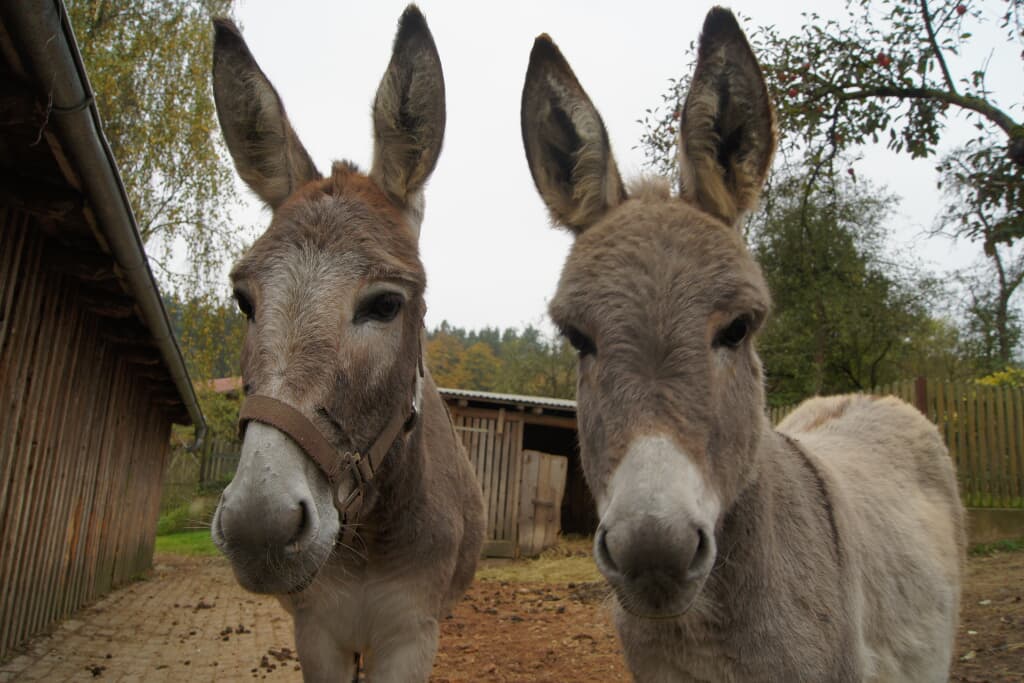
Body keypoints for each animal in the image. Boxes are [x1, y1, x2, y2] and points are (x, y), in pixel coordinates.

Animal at [209, 7, 484, 681]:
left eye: (385, 304)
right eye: (243, 300)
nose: (259, 527)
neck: (367, 536)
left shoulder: (412, 635)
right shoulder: (318, 632)